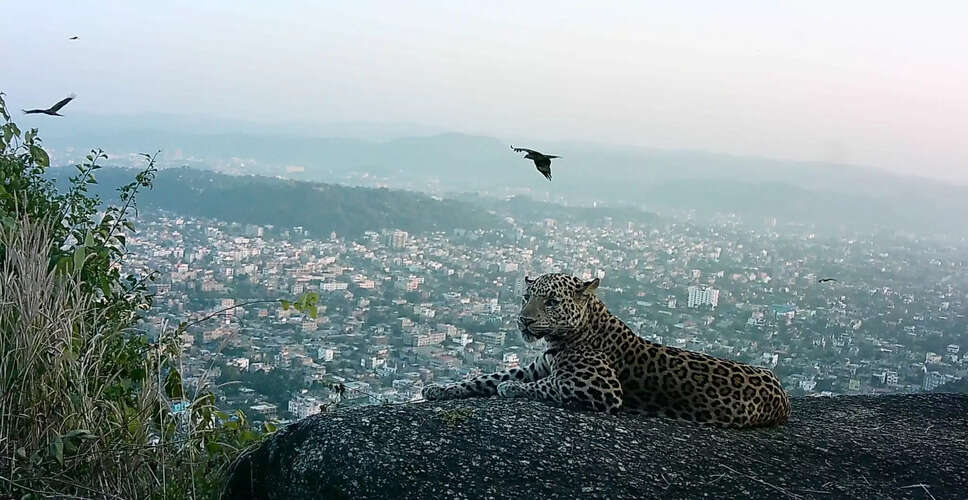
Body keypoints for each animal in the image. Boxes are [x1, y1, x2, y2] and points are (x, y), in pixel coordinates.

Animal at [422, 272, 791, 428]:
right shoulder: (534, 366)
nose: (523, 320)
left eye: (551, 301)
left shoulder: (603, 388)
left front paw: (511, 389)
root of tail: (784, 396)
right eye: (527, 297)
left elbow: (549, 385)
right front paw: (439, 389)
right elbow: (485, 377)